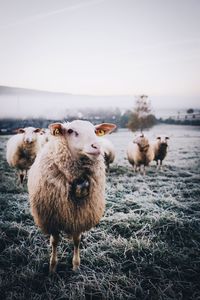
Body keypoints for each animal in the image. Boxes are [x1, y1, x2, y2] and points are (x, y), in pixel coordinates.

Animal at [27, 119, 116, 272]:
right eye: (70, 131)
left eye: (95, 131)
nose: (97, 146)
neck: (76, 178)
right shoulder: (52, 218)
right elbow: (55, 241)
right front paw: (52, 267)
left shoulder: (79, 216)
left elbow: (76, 240)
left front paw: (75, 265)